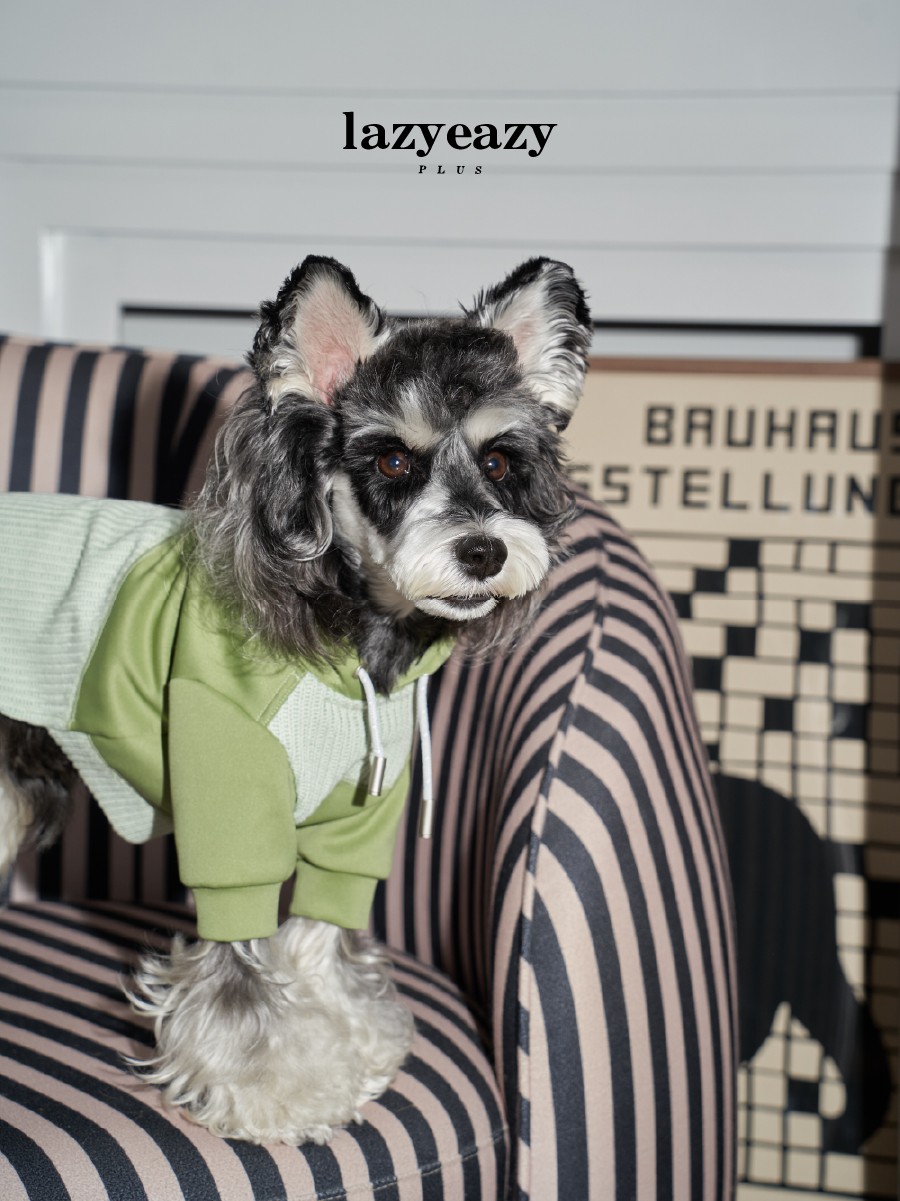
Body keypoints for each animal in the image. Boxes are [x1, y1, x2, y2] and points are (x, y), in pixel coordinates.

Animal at [0, 254, 591, 1143]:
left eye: (498, 461)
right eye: (392, 462)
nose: (484, 551)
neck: (352, 641)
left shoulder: (354, 819)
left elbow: (320, 927)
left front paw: (348, 1035)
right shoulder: (230, 818)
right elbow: (239, 965)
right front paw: (267, 1086)